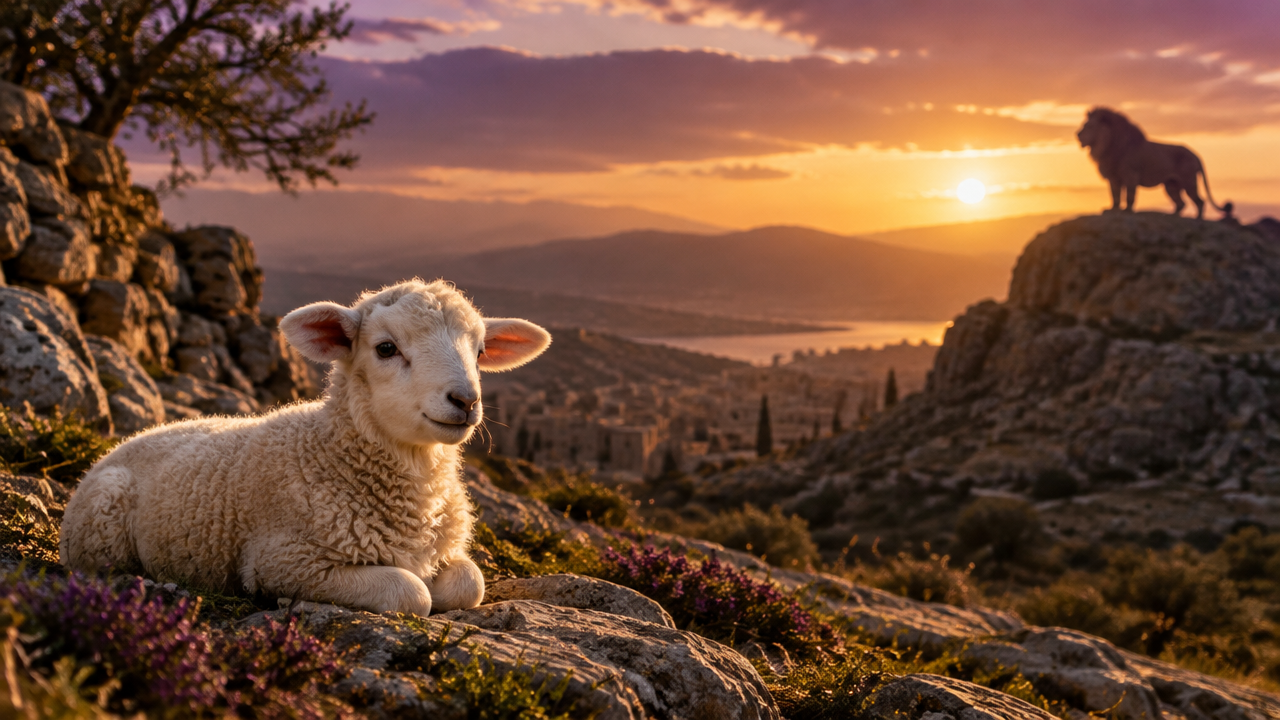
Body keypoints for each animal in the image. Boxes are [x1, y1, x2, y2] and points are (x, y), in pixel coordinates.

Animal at [1076, 107, 1228, 219]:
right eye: (1084, 125)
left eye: (1089, 126)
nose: (1077, 135)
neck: (1107, 147)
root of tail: (1195, 155)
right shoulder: (1113, 178)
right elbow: (1115, 196)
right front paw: (1112, 210)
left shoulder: (1131, 175)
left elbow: (1129, 196)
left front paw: (1127, 211)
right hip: (1171, 185)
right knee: (1181, 203)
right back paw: (1170, 216)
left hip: (1188, 182)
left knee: (1200, 202)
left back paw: (1198, 219)